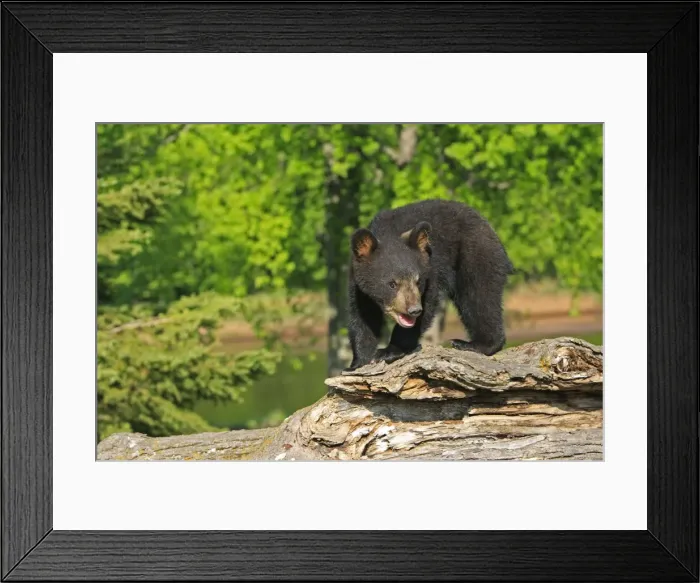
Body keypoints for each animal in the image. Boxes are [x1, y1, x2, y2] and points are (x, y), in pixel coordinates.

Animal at [346, 199, 514, 371]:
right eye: (392, 284)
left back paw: (475, 344)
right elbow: (362, 315)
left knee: (479, 296)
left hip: (476, 254)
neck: (389, 231)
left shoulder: (431, 268)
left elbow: (427, 304)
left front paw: (389, 350)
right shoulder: (357, 284)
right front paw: (358, 362)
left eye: (418, 281)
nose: (414, 310)